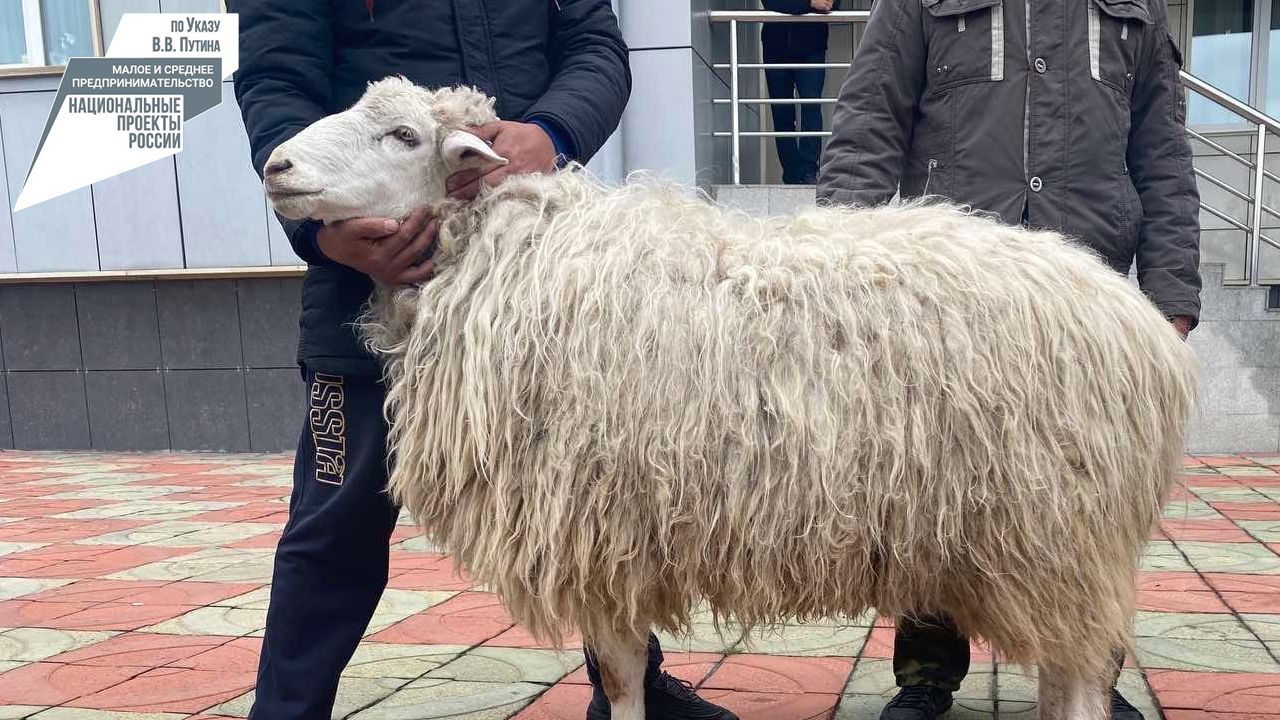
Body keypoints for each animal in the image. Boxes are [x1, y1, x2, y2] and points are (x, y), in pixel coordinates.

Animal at [262, 77, 1198, 717]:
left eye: (401, 134)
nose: (274, 163)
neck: (514, 256)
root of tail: (1142, 326)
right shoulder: (612, 532)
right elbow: (623, 668)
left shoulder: (593, 527)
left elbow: (622, 672)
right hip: (1039, 545)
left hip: (1058, 534)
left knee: (1082, 680)